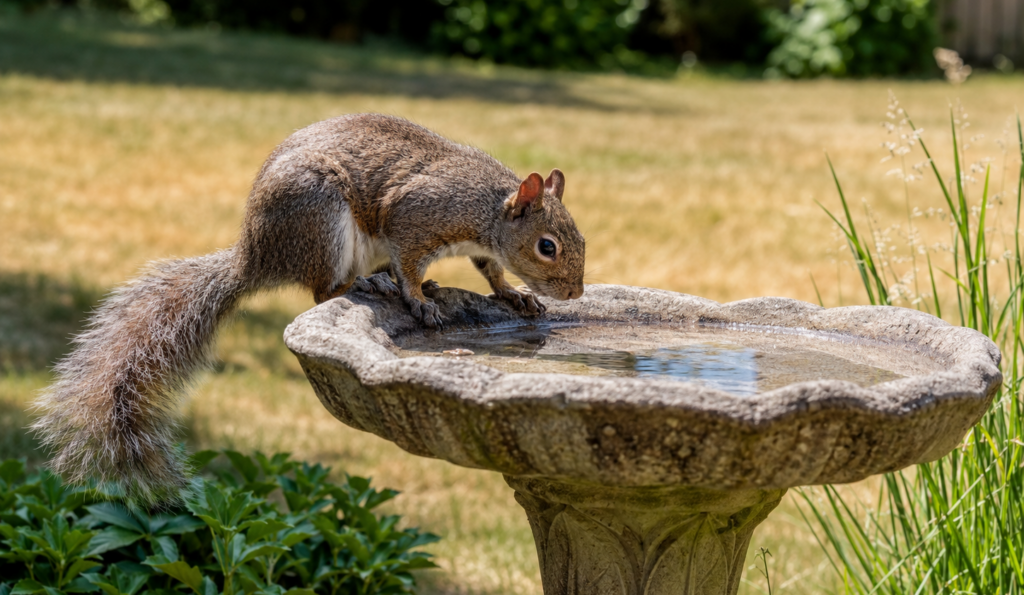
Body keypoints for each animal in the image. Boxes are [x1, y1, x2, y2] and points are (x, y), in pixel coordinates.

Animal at [32, 113, 586, 501]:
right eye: (547, 246)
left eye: (577, 237)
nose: (576, 293)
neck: (488, 207)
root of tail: (255, 256)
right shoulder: (416, 219)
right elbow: (410, 263)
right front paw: (418, 299)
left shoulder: (476, 246)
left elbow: (491, 271)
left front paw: (512, 293)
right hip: (321, 216)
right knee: (325, 291)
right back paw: (372, 284)